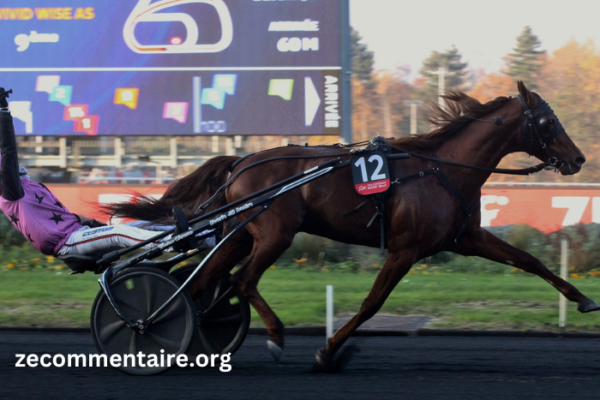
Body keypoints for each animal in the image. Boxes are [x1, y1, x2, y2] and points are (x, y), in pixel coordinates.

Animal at [106, 83, 596, 368]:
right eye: (548, 120)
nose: (578, 158)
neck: (441, 168)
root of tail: (242, 161)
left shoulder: (467, 238)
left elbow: (530, 260)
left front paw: (584, 300)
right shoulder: (405, 249)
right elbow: (372, 303)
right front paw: (329, 349)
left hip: (242, 233)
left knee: (205, 280)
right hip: (274, 234)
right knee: (240, 280)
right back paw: (262, 335)